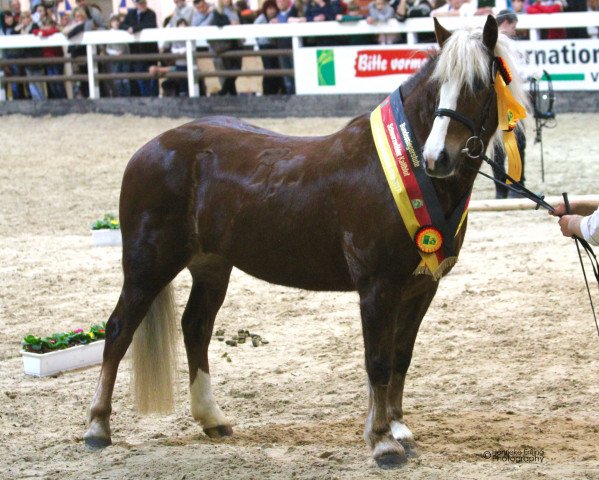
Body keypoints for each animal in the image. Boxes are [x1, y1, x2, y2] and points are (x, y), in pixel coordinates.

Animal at [85, 16, 528, 466]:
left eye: (478, 85)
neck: (403, 165)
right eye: (439, 85)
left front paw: (399, 427)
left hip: (211, 266)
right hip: (148, 265)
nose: (438, 157)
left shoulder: (422, 287)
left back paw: (213, 420)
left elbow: (401, 358)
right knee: (118, 330)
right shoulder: (377, 287)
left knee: (195, 328)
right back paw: (98, 427)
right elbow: (378, 361)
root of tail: (148, 150)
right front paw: (382, 441)